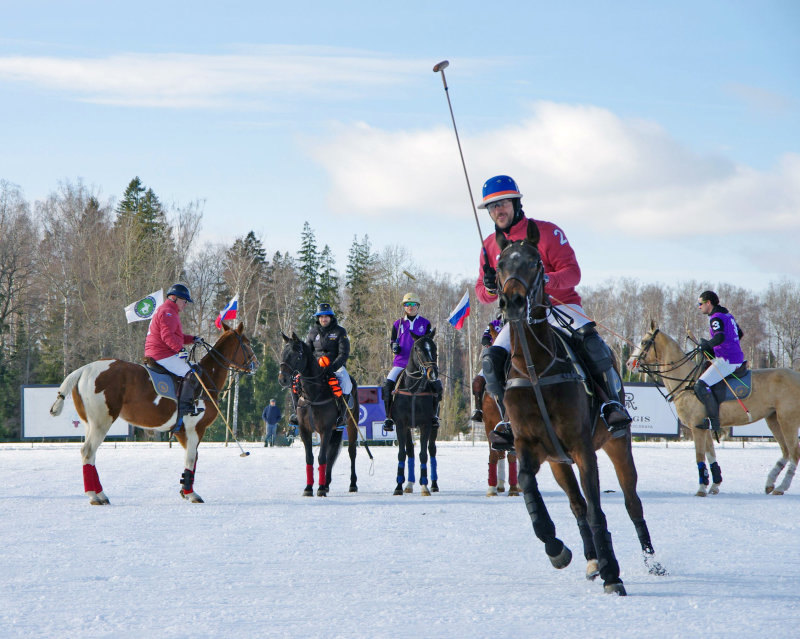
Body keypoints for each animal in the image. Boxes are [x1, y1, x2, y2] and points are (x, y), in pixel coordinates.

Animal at [47, 322, 258, 508]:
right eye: (247, 343)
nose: (255, 364)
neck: (206, 379)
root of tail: (84, 369)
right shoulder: (194, 428)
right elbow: (191, 459)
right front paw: (192, 495)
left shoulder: (182, 431)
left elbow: (192, 458)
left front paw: (185, 489)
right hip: (102, 421)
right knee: (88, 452)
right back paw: (95, 496)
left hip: (89, 422)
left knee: (89, 454)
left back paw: (100, 494)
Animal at [278, 332, 360, 498]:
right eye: (283, 353)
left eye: (297, 355)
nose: (283, 379)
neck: (313, 394)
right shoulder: (305, 430)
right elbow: (310, 458)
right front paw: (309, 488)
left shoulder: (325, 430)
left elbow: (322, 457)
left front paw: (320, 488)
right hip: (336, 430)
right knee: (331, 454)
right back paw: (326, 483)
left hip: (351, 424)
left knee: (351, 452)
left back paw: (352, 484)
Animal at [390, 332, 440, 498]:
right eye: (418, 348)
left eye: (434, 347)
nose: (433, 373)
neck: (412, 389)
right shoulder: (401, 425)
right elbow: (402, 454)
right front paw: (399, 486)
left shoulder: (426, 425)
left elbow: (423, 454)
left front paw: (424, 486)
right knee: (410, 450)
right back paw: (409, 484)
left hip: (434, 427)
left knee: (432, 450)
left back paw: (434, 484)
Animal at [494, 222, 664, 596]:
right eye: (498, 264)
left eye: (535, 262)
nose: (512, 302)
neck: (535, 369)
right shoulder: (529, 445)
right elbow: (528, 484)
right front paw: (556, 547)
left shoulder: (582, 447)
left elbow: (598, 509)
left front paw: (613, 575)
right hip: (559, 461)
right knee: (577, 505)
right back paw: (592, 559)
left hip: (618, 444)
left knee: (631, 502)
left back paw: (651, 561)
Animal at [628, 324, 800, 496]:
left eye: (644, 342)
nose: (629, 363)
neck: (686, 381)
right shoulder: (705, 426)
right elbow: (711, 455)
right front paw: (715, 485)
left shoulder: (697, 427)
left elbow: (700, 457)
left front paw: (701, 489)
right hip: (773, 419)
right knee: (785, 451)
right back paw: (770, 483)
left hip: (787, 420)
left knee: (794, 452)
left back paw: (781, 486)